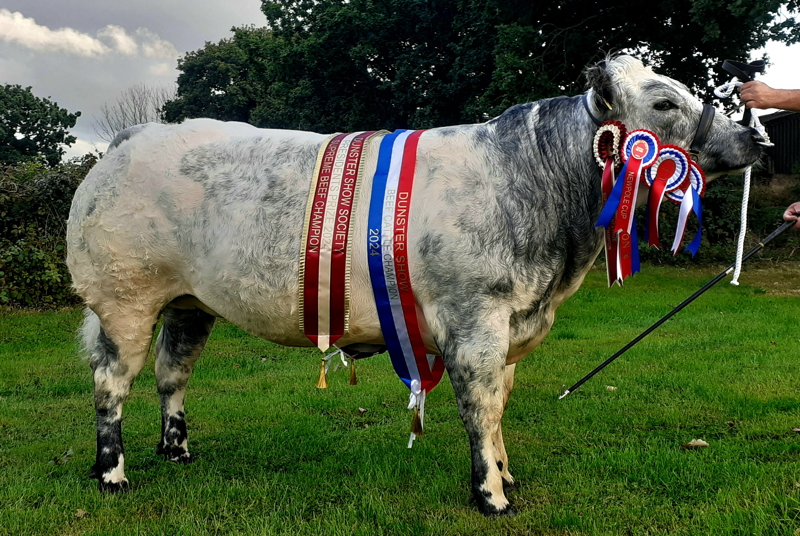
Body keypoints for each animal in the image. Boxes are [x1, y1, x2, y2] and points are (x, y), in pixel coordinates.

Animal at [67, 55, 764, 516]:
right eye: (665, 103)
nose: (752, 134)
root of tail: (136, 137)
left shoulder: (510, 322)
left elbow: (500, 406)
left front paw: (507, 476)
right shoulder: (476, 321)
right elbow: (479, 408)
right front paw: (491, 496)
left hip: (190, 304)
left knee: (172, 373)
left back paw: (177, 452)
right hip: (124, 299)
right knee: (111, 384)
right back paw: (113, 475)